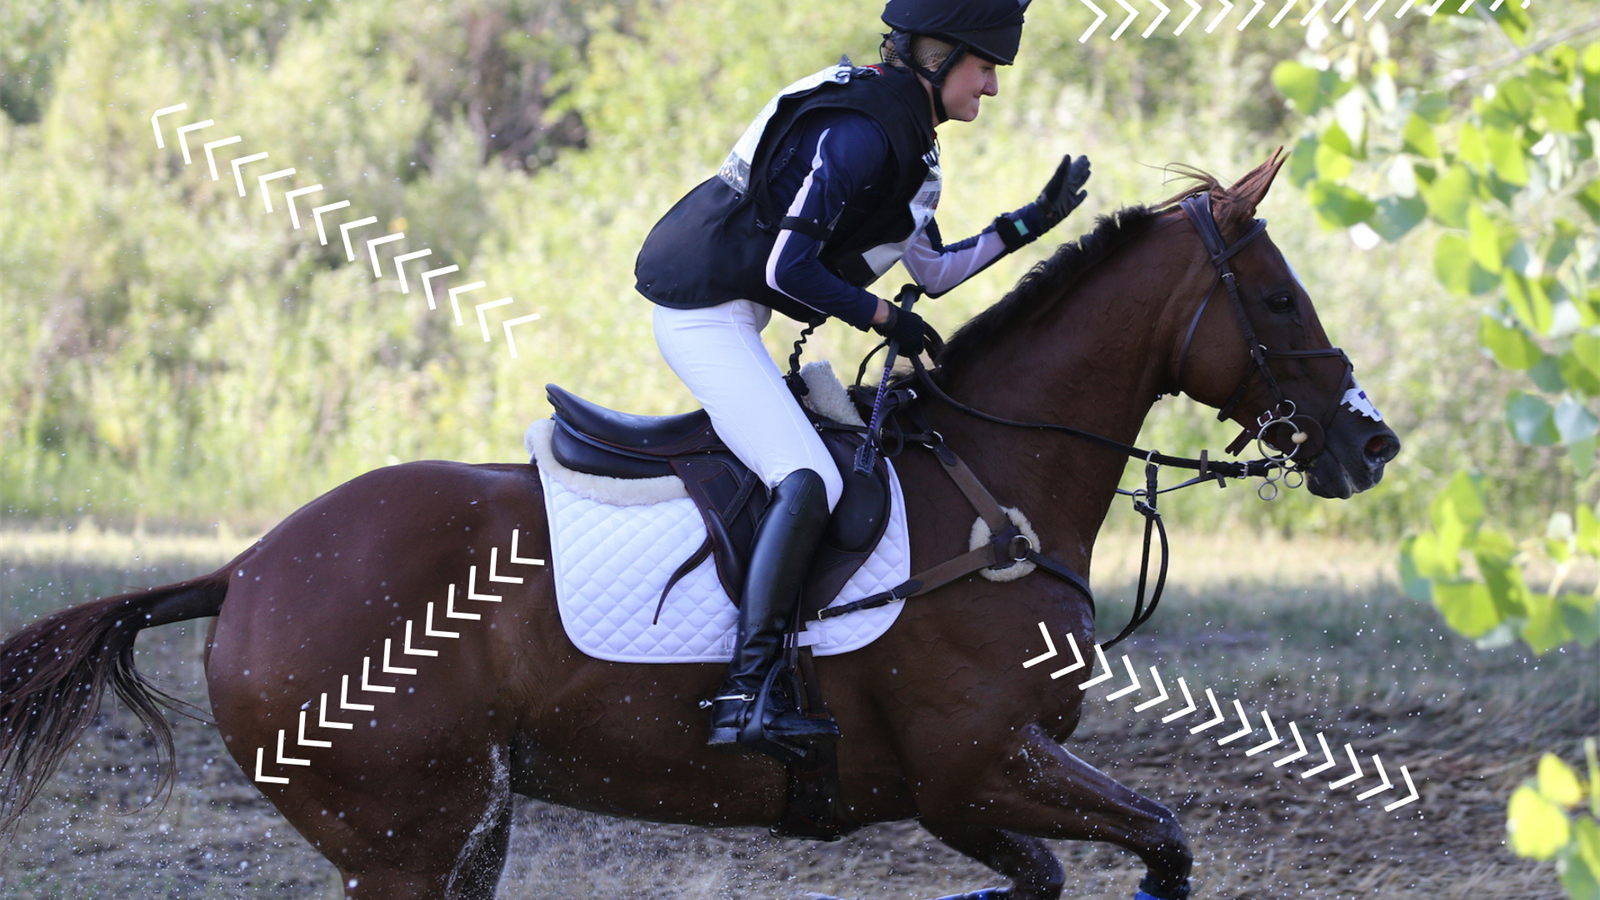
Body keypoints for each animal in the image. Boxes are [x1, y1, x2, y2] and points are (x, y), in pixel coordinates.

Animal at [0, 154, 1400, 900]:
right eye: (1279, 297)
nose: (1370, 442)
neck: (990, 481)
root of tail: (245, 567)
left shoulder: (961, 793)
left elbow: (1048, 874)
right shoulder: (978, 764)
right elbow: (1161, 840)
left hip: (461, 826)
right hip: (403, 835)